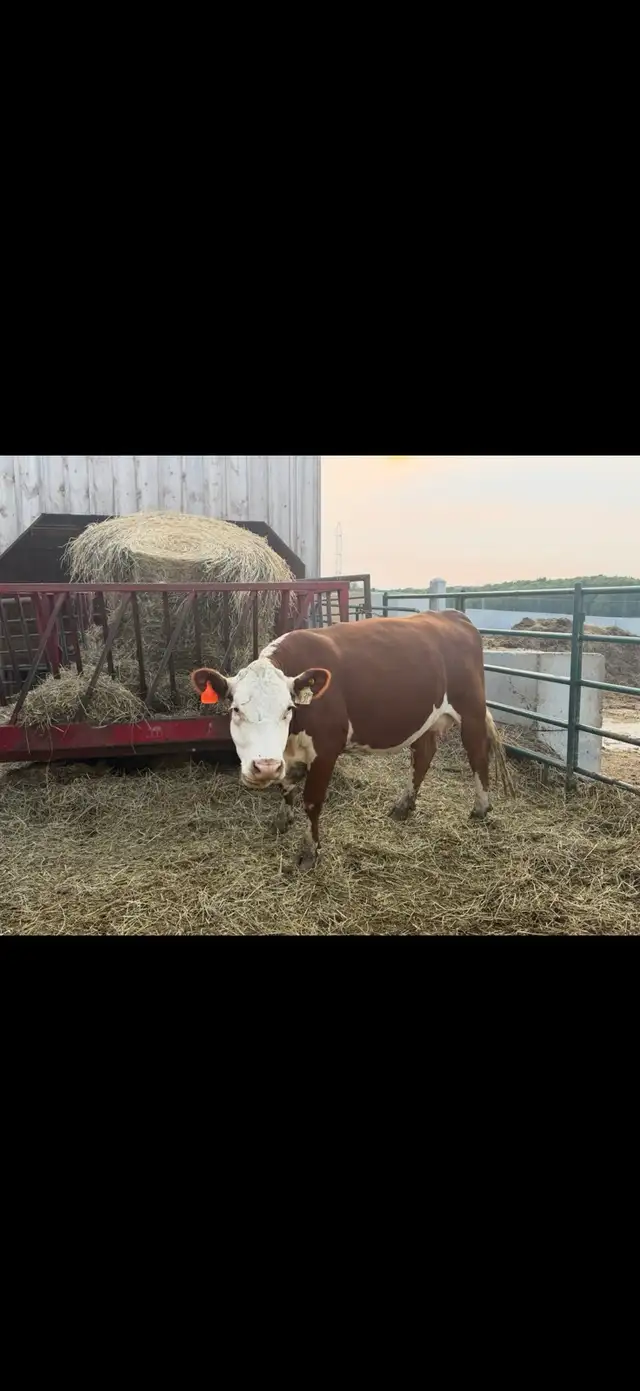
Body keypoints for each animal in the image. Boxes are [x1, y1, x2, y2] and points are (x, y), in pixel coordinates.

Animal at [190, 610, 513, 870]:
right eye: (235, 709)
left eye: (288, 709)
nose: (265, 766)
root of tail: (453, 615)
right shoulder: (287, 755)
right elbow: (285, 787)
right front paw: (282, 820)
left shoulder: (326, 749)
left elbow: (312, 801)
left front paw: (309, 852)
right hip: (429, 719)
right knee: (423, 755)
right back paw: (404, 805)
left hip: (471, 709)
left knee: (477, 754)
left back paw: (481, 808)